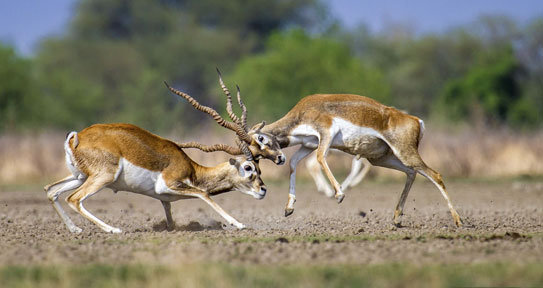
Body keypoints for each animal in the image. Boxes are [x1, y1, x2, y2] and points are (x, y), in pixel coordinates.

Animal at [44, 122, 268, 233]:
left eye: (259, 169)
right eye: (248, 168)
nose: (263, 190)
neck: (193, 170)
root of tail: (76, 137)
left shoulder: (164, 198)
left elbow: (169, 216)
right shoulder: (169, 185)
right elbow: (204, 194)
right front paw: (239, 224)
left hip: (80, 176)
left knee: (50, 191)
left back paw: (75, 230)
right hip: (103, 177)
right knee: (74, 199)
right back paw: (113, 230)